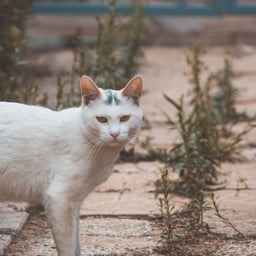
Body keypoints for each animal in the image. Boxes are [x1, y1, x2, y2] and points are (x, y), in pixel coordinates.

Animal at [0, 75, 143, 255]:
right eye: (101, 119)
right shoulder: (60, 198)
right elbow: (68, 246)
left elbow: (76, 244)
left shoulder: (74, 203)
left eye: (124, 118)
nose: (115, 134)